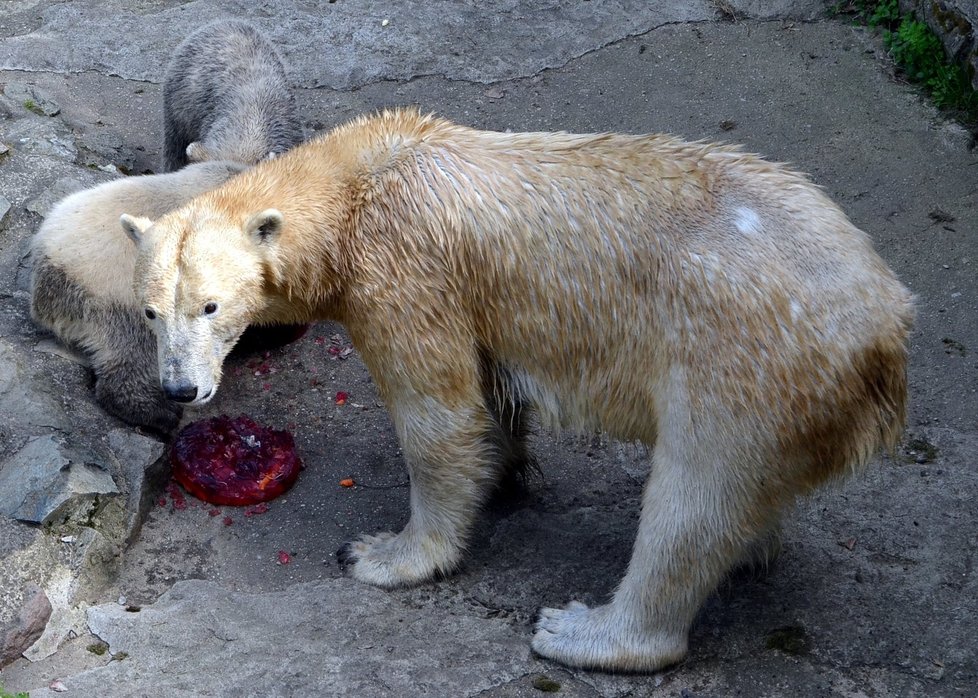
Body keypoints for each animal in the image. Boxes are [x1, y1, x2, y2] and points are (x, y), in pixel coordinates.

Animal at [124, 109, 916, 668]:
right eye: (151, 311)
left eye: (211, 307)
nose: (179, 389)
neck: (358, 182)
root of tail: (885, 332)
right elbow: (491, 395)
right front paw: (501, 474)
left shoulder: (404, 272)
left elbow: (438, 415)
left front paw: (385, 554)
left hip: (743, 359)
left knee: (694, 497)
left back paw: (587, 630)